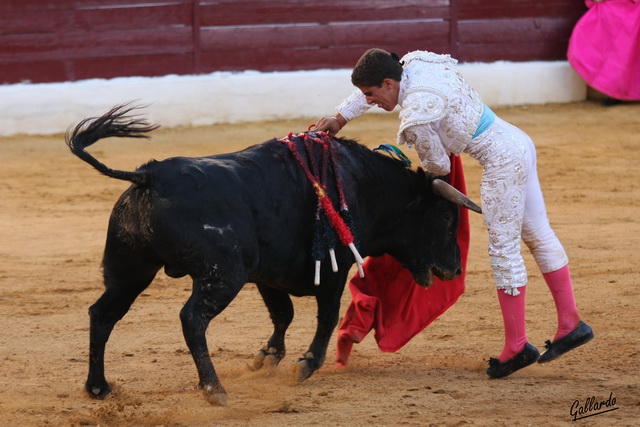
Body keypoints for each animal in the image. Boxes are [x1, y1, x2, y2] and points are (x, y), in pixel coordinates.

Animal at [66, 104, 480, 408]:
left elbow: (284, 314)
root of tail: (148, 175)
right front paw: (306, 364)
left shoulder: (267, 273)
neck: (364, 185)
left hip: (131, 269)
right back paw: (214, 389)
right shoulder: (335, 267)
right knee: (192, 319)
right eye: (445, 219)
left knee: (102, 314)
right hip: (222, 275)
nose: (455, 268)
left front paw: (266, 356)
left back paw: (98, 386)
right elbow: (326, 316)